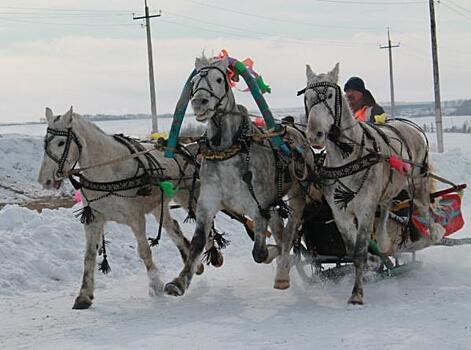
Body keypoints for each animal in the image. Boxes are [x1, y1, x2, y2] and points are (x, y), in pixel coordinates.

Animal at [38, 106, 205, 308]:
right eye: (45, 142)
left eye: (61, 142)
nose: (45, 180)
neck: (109, 171)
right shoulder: (94, 218)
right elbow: (89, 256)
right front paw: (84, 295)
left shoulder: (135, 217)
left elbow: (144, 251)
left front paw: (156, 284)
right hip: (159, 206)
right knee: (174, 229)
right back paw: (194, 263)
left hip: (187, 195)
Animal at [163, 56, 314, 296]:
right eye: (194, 82)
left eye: (218, 79)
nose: (199, 102)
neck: (228, 151)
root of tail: (293, 129)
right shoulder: (207, 204)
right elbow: (197, 243)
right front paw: (179, 281)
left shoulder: (258, 207)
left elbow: (260, 253)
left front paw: (274, 253)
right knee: (280, 231)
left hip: (297, 195)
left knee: (289, 233)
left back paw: (282, 271)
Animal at [300, 63, 444, 304]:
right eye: (308, 97)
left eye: (329, 95)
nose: (315, 135)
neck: (348, 155)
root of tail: (408, 125)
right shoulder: (340, 213)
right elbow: (351, 251)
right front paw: (371, 264)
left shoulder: (366, 208)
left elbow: (359, 253)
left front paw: (357, 294)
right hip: (388, 189)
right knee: (385, 210)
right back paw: (384, 245)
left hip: (417, 185)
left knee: (424, 210)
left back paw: (431, 233)